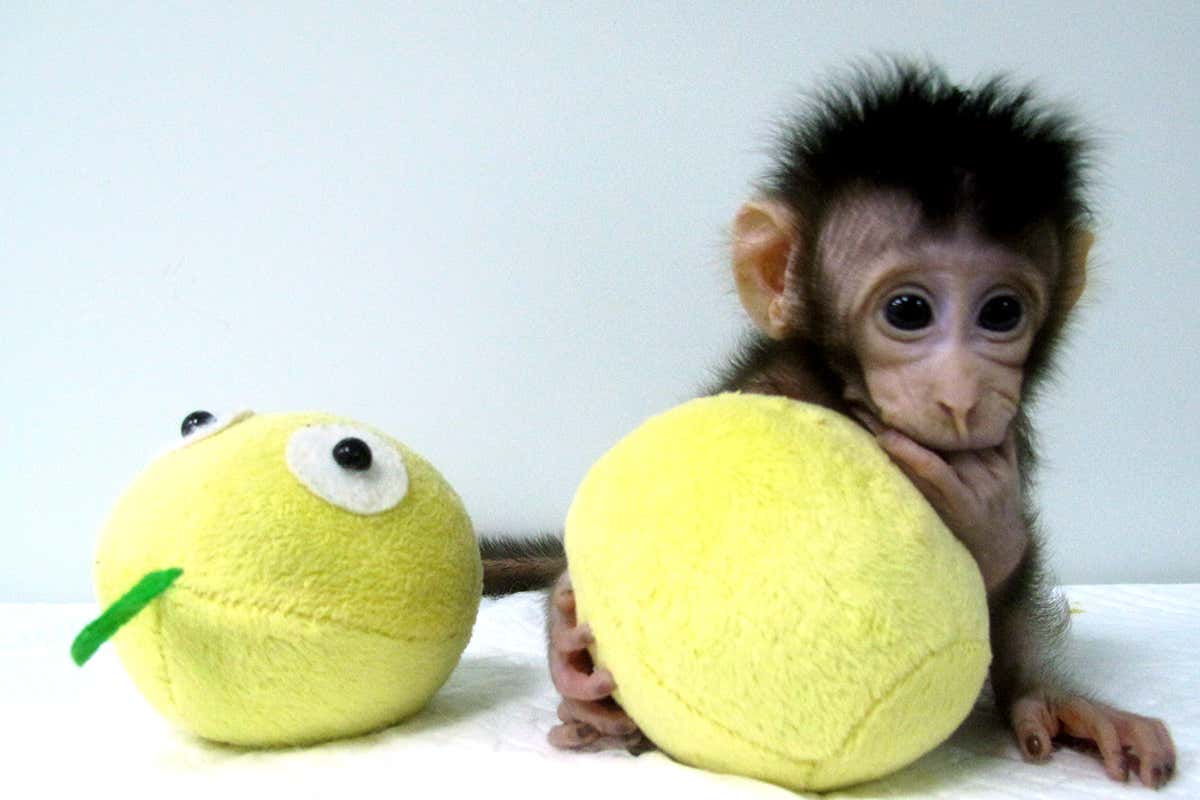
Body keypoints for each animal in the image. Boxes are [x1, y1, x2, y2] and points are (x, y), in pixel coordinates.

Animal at [482, 59, 1177, 788]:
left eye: (1002, 313)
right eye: (907, 310)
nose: (962, 394)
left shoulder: (1014, 434)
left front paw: (1048, 688)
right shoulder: (769, 384)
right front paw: (568, 643)